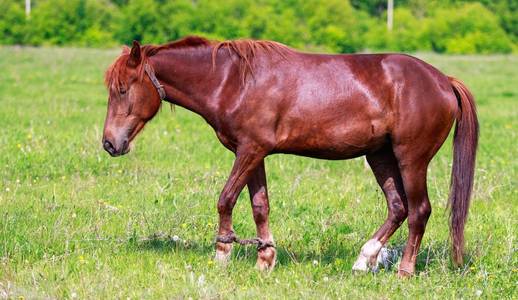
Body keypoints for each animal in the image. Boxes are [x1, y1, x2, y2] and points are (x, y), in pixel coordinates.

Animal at [100, 35, 480, 276]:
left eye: (123, 90)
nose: (109, 143)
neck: (232, 81)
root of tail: (442, 80)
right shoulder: (253, 153)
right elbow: (260, 205)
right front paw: (264, 259)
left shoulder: (250, 150)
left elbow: (225, 199)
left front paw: (223, 253)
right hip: (380, 156)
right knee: (398, 207)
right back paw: (364, 260)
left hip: (410, 159)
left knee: (419, 210)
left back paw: (405, 271)